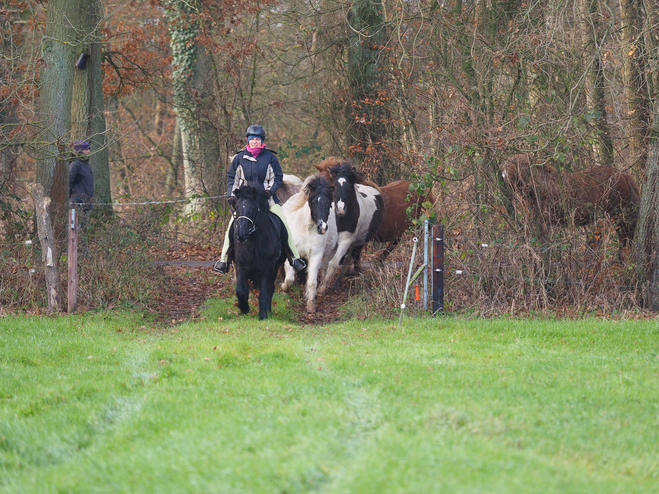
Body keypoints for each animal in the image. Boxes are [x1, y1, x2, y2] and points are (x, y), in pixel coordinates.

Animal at [231, 183, 288, 318]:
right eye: (237, 207)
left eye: (253, 208)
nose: (241, 235)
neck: (253, 243)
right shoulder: (241, 265)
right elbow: (241, 290)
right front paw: (244, 308)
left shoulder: (266, 268)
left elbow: (264, 292)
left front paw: (263, 315)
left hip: (274, 268)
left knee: (270, 288)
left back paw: (268, 310)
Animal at [282, 176, 338, 310]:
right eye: (314, 203)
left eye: (329, 204)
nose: (322, 228)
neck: (306, 229)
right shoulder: (292, 255)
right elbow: (289, 277)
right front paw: (285, 288)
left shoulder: (316, 255)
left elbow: (312, 281)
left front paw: (311, 305)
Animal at [318, 162, 384, 294]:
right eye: (334, 186)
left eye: (349, 187)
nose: (340, 210)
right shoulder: (331, 241)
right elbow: (326, 262)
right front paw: (321, 284)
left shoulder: (346, 240)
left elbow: (334, 263)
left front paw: (323, 288)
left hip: (359, 242)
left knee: (349, 259)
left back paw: (338, 282)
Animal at [506, 154, 640, 247]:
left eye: (518, 164)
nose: (504, 173)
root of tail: (623, 175)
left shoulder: (543, 221)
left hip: (618, 216)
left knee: (625, 240)